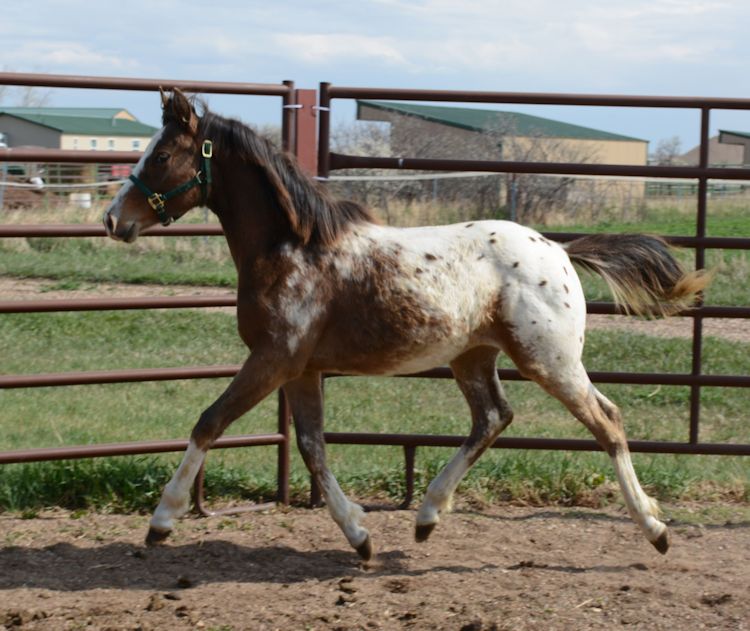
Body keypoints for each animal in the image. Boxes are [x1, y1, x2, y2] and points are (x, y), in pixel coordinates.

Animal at [103, 88, 709, 561]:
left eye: (161, 155)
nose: (112, 219)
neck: (292, 249)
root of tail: (558, 250)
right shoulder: (300, 369)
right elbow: (312, 447)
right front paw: (360, 537)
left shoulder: (273, 360)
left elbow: (210, 422)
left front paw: (162, 521)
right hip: (473, 357)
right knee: (493, 418)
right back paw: (426, 517)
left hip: (550, 360)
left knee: (606, 421)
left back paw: (655, 529)